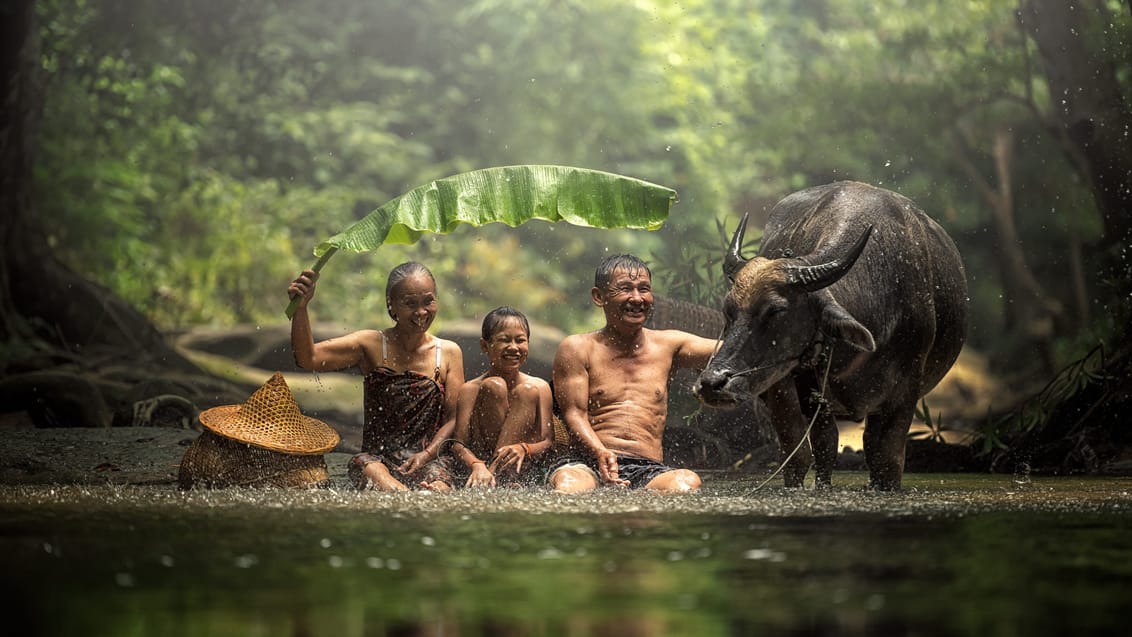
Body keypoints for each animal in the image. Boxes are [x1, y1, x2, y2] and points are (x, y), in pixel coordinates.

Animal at [692, 182, 968, 491]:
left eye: (776, 310)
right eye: (728, 309)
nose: (712, 383)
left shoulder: (906, 388)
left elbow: (887, 461)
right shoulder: (785, 382)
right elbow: (800, 454)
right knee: (826, 446)